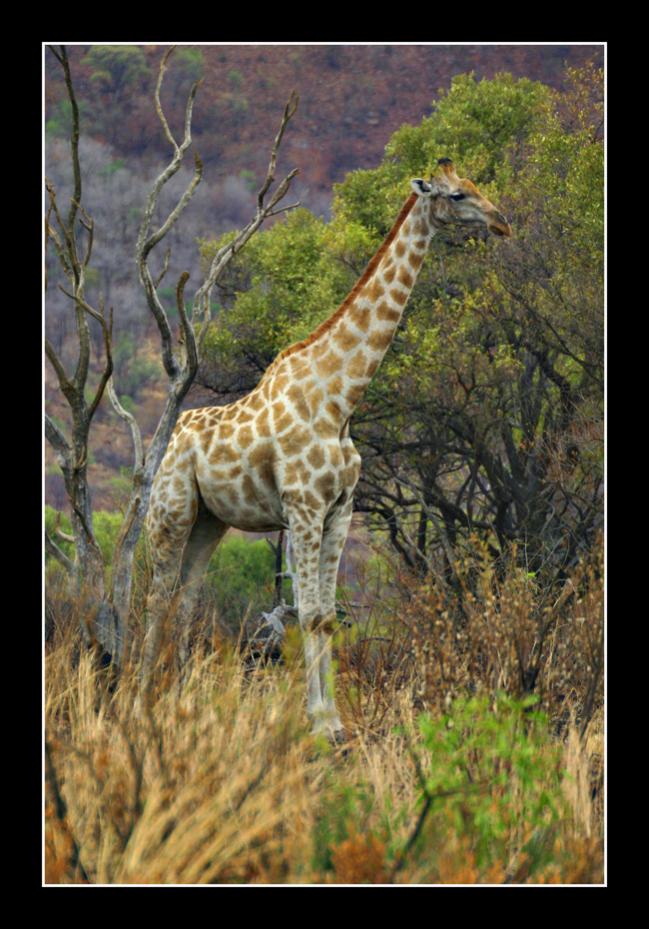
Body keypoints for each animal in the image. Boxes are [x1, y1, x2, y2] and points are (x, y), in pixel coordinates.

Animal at [142, 158, 512, 740]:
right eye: (456, 196)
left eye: (475, 185)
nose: (502, 222)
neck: (340, 400)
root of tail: (174, 435)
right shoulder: (304, 507)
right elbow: (310, 612)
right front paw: (317, 722)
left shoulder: (340, 510)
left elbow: (325, 615)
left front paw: (334, 721)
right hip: (171, 510)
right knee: (156, 597)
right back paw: (135, 695)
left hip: (209, 521)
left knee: (186, 598)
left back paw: (178, 696)